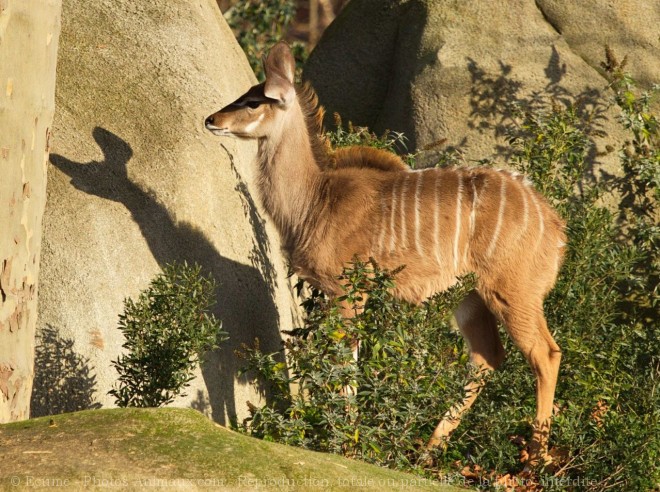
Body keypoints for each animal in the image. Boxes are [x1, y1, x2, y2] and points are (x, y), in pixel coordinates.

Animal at [204, 41, 564, 466]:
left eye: (254, 100)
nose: (211, 119)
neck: (317, 199)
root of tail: (555, 227)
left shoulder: (347, 293)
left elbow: (346, 366)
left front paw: (347, 443)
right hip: (470, 298)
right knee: (486, 358)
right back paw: (427, 452)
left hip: (513, 292)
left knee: (545, 353)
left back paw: (536, 459)